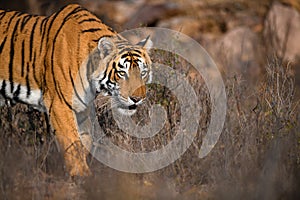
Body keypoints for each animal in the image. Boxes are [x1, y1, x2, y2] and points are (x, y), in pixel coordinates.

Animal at [0, 3, 152, 177]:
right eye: (122, 73)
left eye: (142, 73)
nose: (137, 99)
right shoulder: (59, 104)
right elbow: (72, 141)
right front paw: (82, 176)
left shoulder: (82, 108)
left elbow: (85, 140)